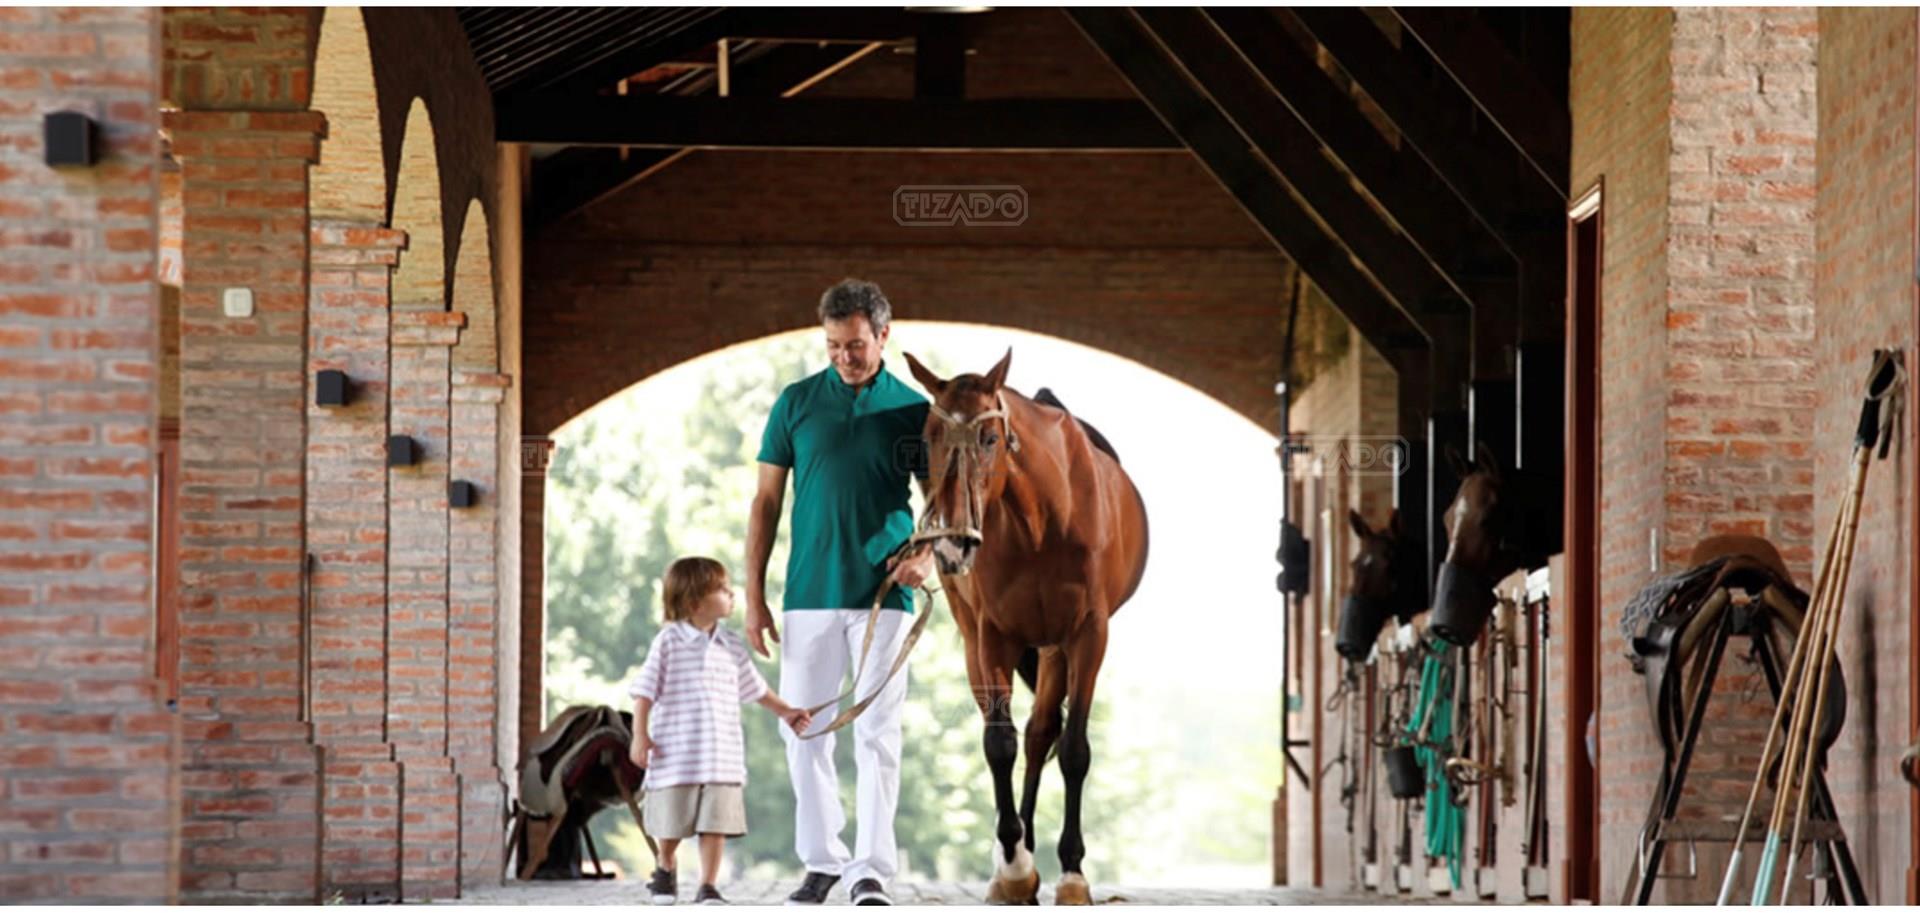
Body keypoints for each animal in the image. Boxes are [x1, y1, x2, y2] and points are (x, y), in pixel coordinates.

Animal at [901, 350, 1150, 905]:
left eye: (990, 438)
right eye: (927, 437)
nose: (950, 545)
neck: (1042, 521)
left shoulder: (1086, 635)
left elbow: (1073, 749)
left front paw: (1072, 874)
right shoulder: (993, 635)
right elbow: (999, 743)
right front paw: (1014, 869)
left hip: (1054, 648)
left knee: (1041, 734)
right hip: (979, 637)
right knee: (1019, 735)